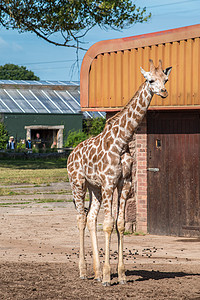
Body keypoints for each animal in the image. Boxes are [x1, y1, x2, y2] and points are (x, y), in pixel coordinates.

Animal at [67, 59, 172, 286]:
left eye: (166, 79)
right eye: (150, 80)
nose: (164, 92)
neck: (123, 140)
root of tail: (70, 155)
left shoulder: (124, 184)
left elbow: (121, 224)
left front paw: (121, 275)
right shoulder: (109, 182)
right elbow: (108, 224)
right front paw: (108, 276)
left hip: (94, 188)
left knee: (90, 218)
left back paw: (96, 273)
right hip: (78, 183)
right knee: (81, 219)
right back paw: (84, 271)